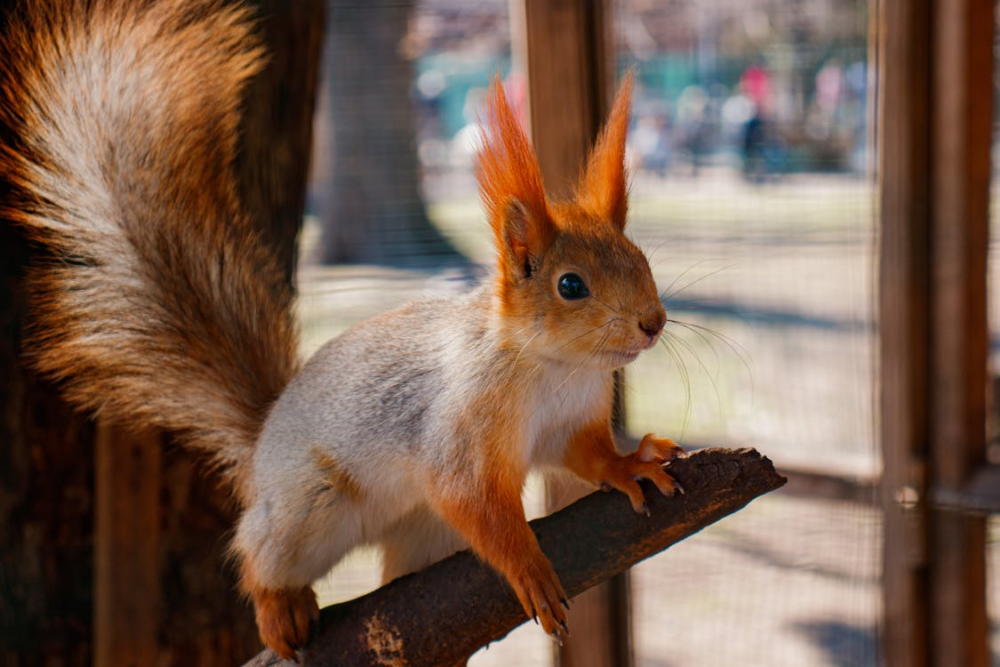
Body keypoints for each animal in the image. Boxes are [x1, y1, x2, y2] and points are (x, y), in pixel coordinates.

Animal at [0, 0, 684, 660]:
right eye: (571, 286)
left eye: (640, 257)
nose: (652, 323)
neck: (554, 367)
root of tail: (260, 448)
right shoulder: (460, 428)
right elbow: (472, 500)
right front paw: (528, 567)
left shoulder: (573, 421)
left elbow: (588, 456)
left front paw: (630, 464)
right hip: (308, 508)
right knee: (256, 553)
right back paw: (279, 606)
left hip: (420, 535)